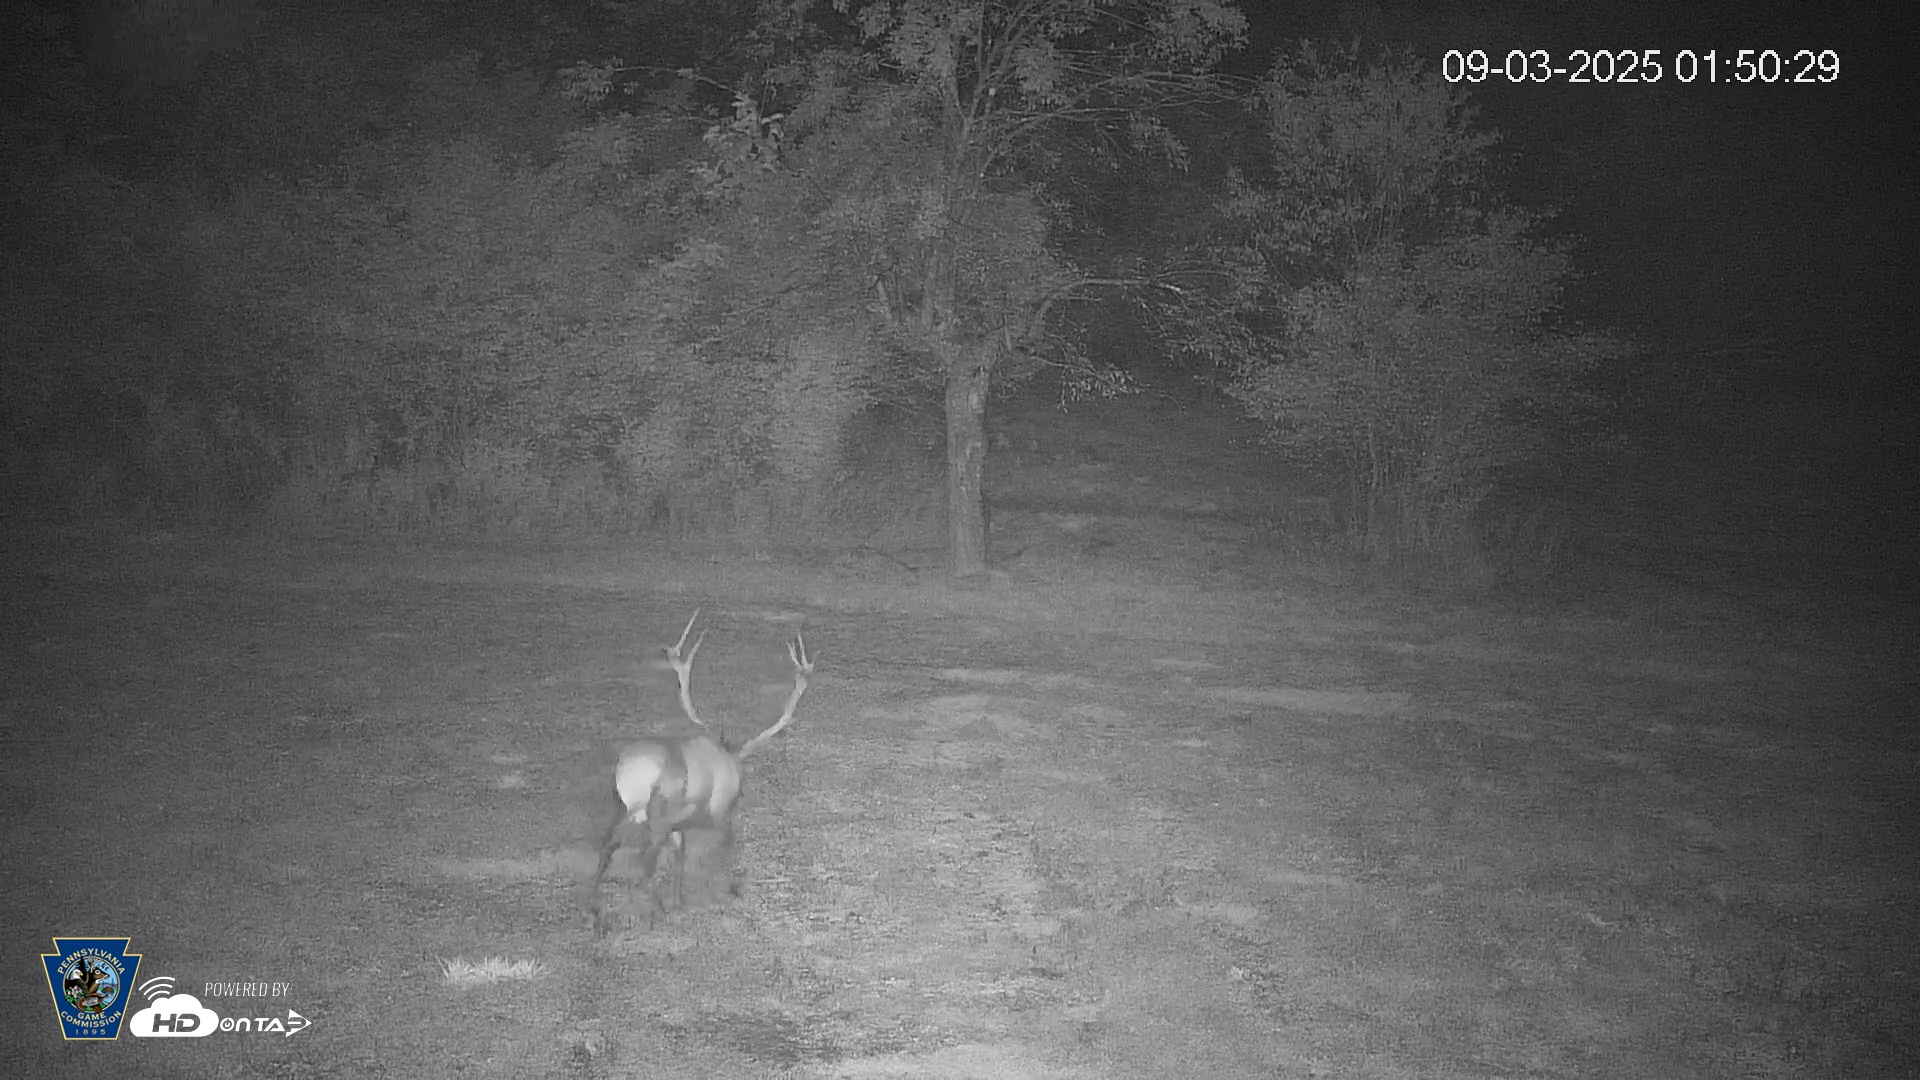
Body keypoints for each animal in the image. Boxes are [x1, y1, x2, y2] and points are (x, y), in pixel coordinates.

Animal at [582, 610, 813, 935]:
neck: (732, 759)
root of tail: (632, 772)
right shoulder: (718, 812)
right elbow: (727, 846)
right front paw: (730, 888)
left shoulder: (681, 825)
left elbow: (681, 857)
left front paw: (680, 900)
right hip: (657, 812)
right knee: (644, 860)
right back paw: (655, 909)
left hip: (624, 805)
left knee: (607, 848)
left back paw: (594, 909)